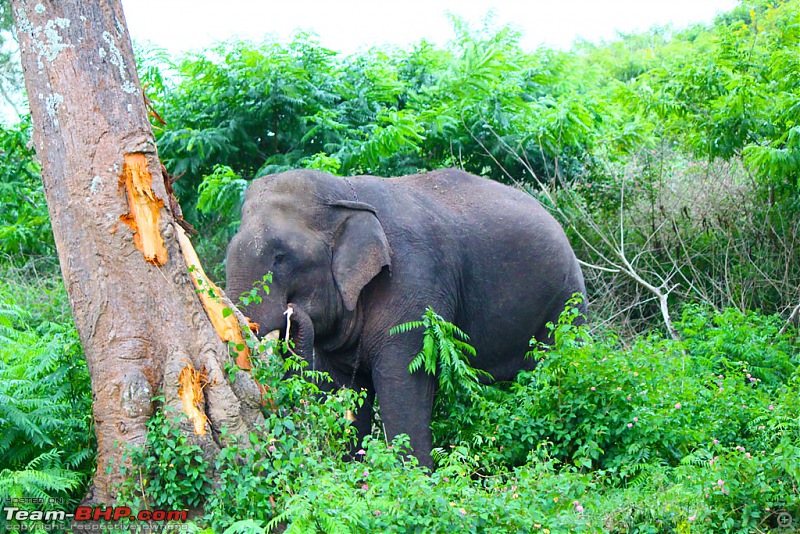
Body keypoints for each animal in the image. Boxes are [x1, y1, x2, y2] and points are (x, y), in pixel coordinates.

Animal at [225, 168, 588, 468]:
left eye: (281, 257)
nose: (291, 313)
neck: (346, 192)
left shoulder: (415, 282)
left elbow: (402, 380)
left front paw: (413, 477)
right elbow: (339, 388)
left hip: (565, 303)